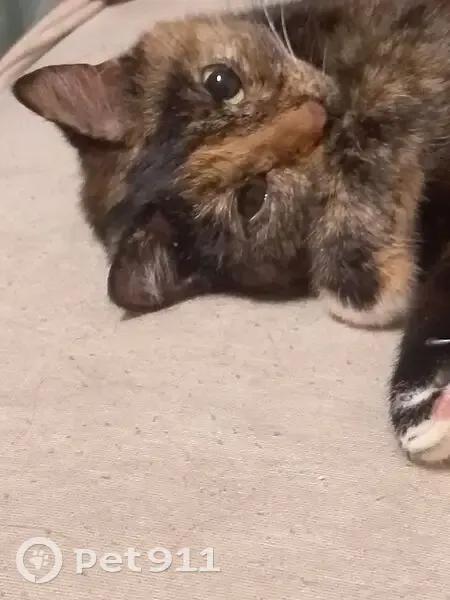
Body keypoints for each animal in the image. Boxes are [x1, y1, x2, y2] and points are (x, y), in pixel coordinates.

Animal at [11, 0, 450, 465]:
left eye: (221, 82)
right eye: (252, 198)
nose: (321, 115)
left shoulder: (405, 34)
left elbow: (377, 102)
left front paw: (356, 275)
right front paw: (424, 403)